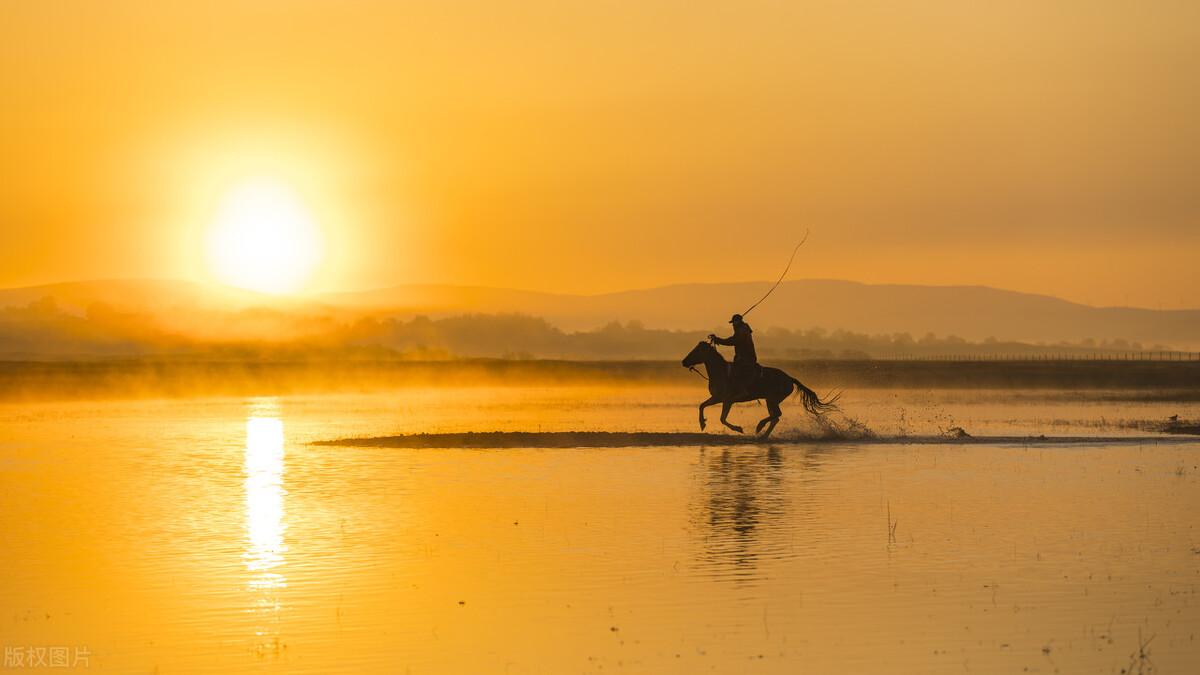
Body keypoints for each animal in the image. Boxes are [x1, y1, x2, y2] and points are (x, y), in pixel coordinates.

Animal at [681, 338, 840, 439]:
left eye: (697, 350)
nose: (684, 362)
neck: (721, 372)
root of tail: (789, 378)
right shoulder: (717, 398)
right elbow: (702, 406)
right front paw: (702, 424)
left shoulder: (727, 400)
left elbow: (722, 418)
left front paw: (738, 429)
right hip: (771, 400)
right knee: (776, 417)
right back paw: (763, 435)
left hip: (772, 399)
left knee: (777, 415)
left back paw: (759, 427)